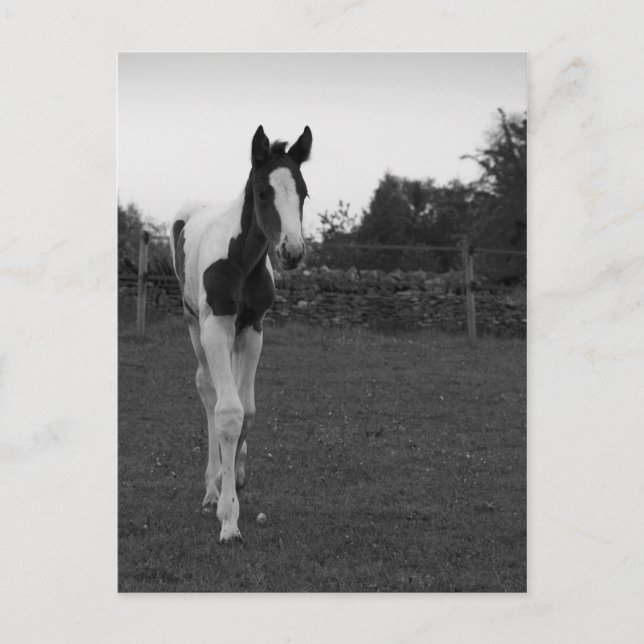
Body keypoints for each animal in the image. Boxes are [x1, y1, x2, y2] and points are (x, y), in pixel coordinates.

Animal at [170, 125, 312, 543]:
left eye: (303, 192)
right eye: (263, 192)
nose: (292, 251)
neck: (242, 260)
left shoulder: (253, 327)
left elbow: (247, 410)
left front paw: (239, 476)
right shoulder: (216, 325)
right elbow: (228, 412)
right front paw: (228, 515)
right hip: (194, 325)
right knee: (207, 389)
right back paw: (211, 486)